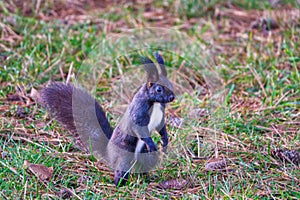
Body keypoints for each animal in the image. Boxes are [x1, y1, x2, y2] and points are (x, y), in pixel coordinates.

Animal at [40, 52, 176, 187]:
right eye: (159, 89)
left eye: (171, 84)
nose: (172, 97)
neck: (155, 103)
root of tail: (108, 154)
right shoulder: (138, 111)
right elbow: (138, 127)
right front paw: (152, 144)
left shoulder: (159, 117)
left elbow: (161, 127)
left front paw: (165, 141)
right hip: (124, 156)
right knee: (122, 170)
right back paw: (120, 184)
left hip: (144, 156)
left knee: (143, 166)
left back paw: (147, 178)